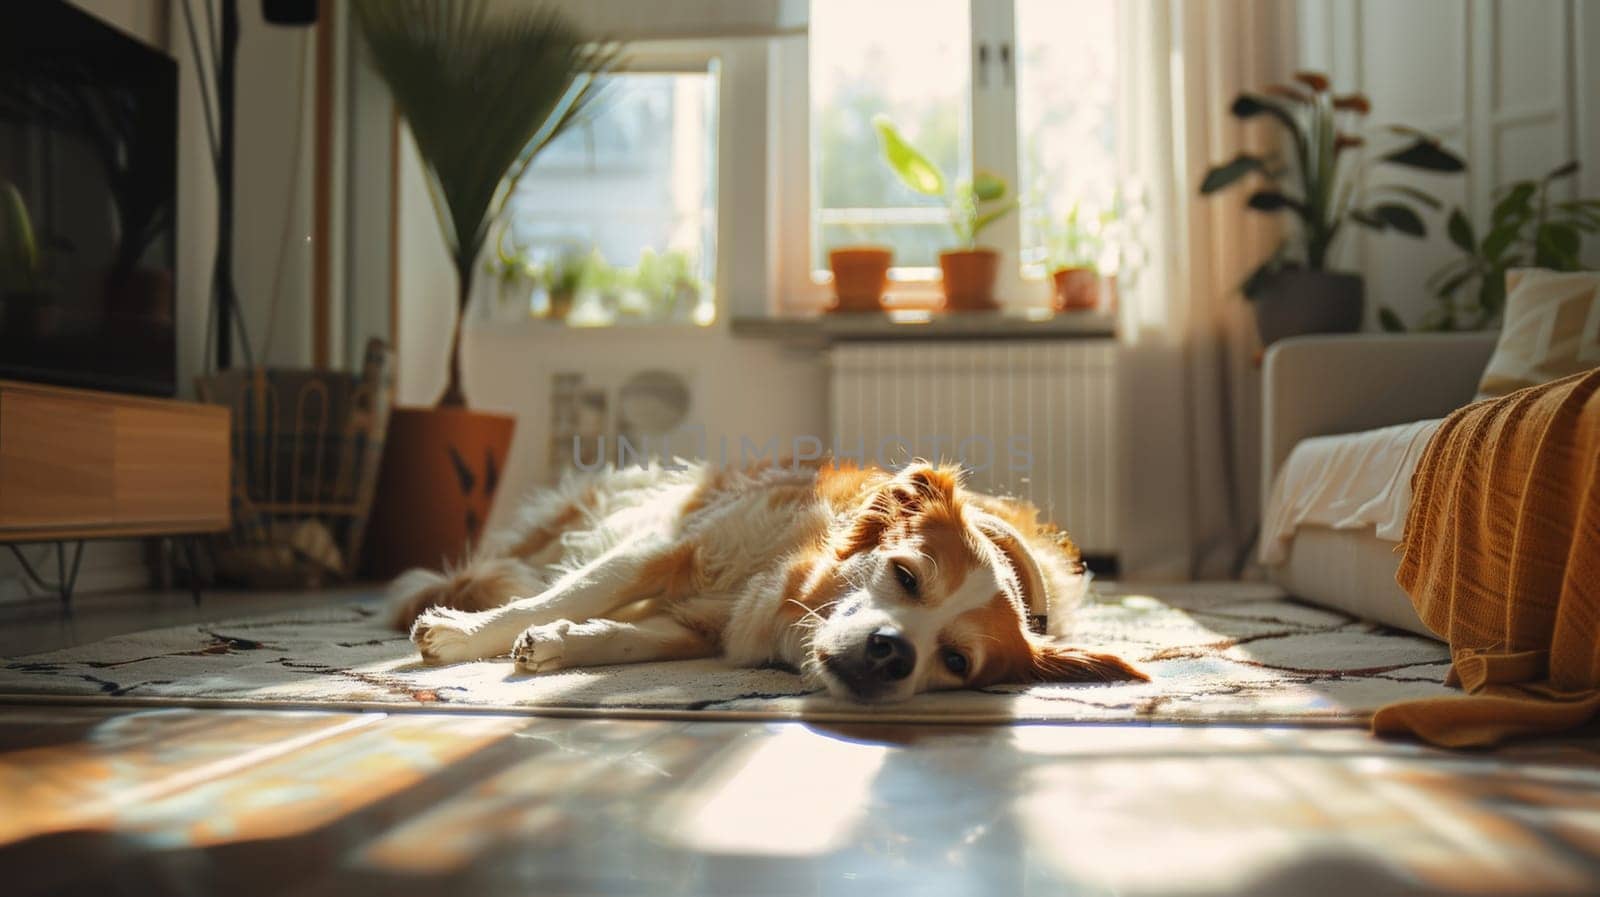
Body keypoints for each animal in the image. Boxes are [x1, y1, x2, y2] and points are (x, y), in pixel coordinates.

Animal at [392, 457, 1145, 703]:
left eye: (957, 661)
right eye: (906, 575)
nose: (892, 654)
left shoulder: (702, 627)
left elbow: (623, 637)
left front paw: (556, 644)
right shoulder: (671, 545)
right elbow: (573, 593)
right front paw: (463, 638)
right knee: (520, 567)